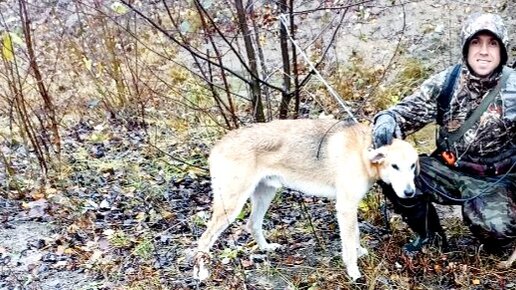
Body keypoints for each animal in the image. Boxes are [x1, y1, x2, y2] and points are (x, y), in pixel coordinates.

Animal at [191, 118, 418, 280]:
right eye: (394, 166)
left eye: (413, 165)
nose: (410, 193)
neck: (363, 152)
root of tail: (219, 145)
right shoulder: (345, 208)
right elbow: (349, 245)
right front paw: (354, 272)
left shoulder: (350, 208)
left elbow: (355, 236)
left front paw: (360, 250)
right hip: (230, 207)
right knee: (204, 239)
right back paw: (202, 273)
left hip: (264, 195)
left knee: (252, 224)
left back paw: (266, 248)